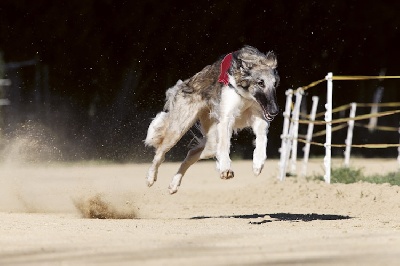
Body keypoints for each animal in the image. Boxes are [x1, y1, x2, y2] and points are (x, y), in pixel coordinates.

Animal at [145, 45, 280, 193]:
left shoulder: (259, 117)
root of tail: (185, 83)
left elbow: (262, 139)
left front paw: (257, 164)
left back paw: (174, 184)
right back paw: (151, 178)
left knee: (191, 154)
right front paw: (225, 169)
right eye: (260, 83)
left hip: (211, 142)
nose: (274, 111)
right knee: (160, 153)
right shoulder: (226, 118)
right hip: (179, 128)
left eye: (275, 84)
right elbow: (225, 145)